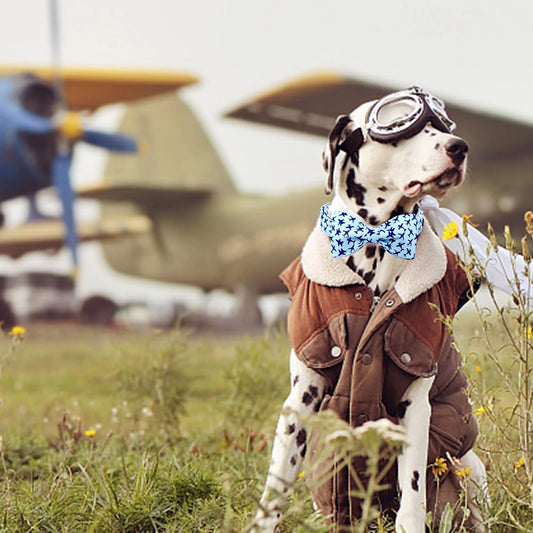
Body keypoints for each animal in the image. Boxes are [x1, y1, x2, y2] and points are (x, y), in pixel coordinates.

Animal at [249, 88, 486, 532]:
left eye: (443, 124)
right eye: (400, 123)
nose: (459, 147)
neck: (377, 243)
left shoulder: (416, 403)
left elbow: (412, 493)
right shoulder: (301, 398)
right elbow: (275, 486)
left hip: (472, 469)